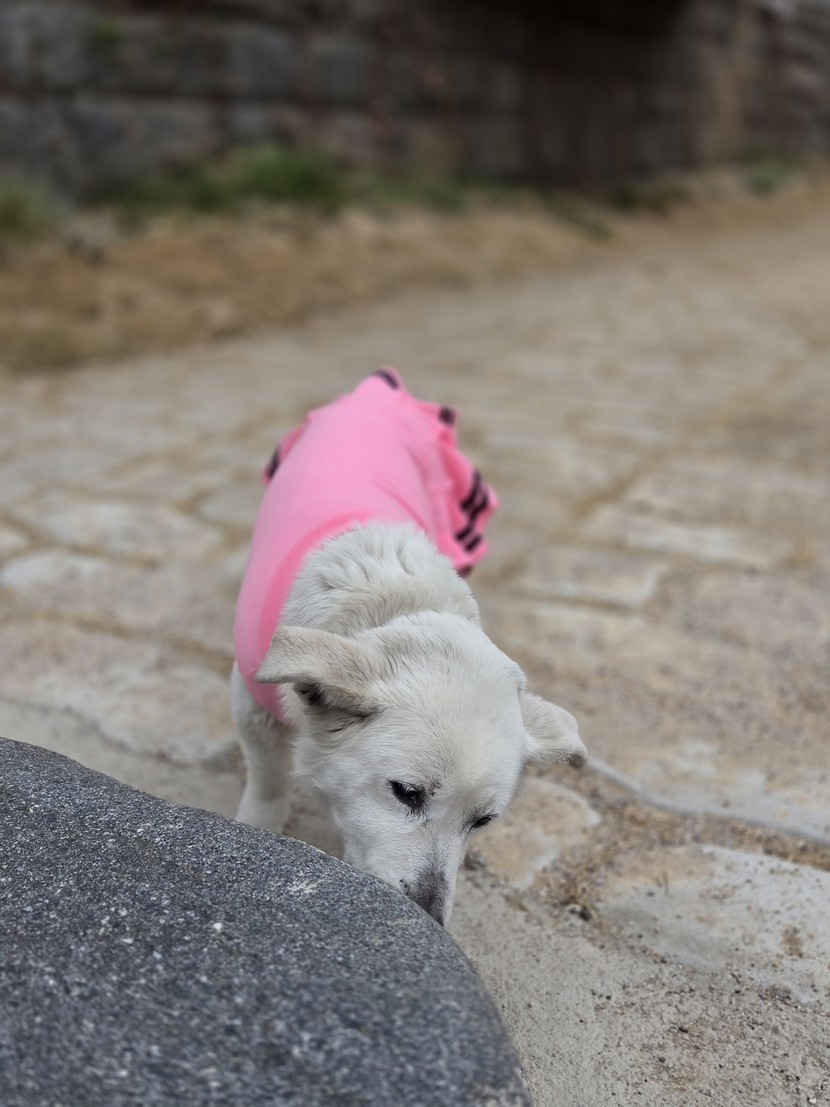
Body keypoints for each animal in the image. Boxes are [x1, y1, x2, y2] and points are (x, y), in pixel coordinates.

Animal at [232, 371, 585, 925]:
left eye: (483, 821)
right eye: (406, 793)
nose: (428, 919)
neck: (394, 600)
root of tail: (378, 391)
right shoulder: (251, 701)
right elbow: (267, 782)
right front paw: (254, 834)